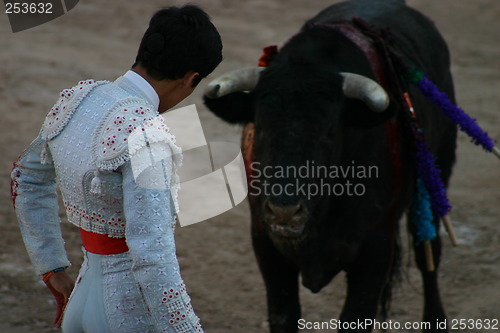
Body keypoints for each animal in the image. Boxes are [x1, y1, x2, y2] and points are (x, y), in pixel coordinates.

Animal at [204, 1, 458, 330]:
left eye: (329, 132)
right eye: (260, 127)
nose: (285, 211)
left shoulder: (376, 249)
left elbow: (356, 315)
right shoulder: (266, 243)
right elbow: (284, 314)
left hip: (437, 171)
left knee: (429, 249)